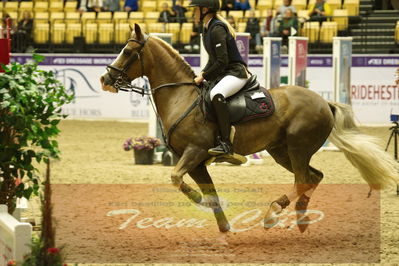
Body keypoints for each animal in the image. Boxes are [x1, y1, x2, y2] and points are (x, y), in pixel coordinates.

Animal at [100, 23, 399, 233]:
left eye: (128, 51)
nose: (105, 78)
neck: (180, 96)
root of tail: (324, 102)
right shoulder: (195, 163)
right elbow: (208, 192)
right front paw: (224, 227)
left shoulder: (195, 153)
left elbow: (176, 179)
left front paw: (199, 201)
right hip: (282, 151)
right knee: (314, 177)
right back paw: (300, 217)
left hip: (298, 148)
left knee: (303, 179)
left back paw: (274, 213)